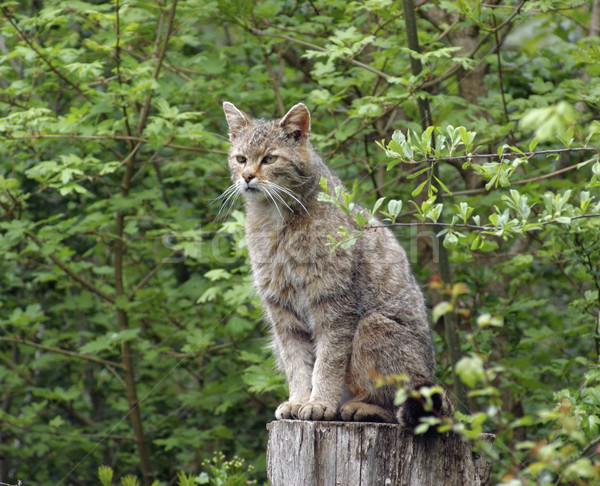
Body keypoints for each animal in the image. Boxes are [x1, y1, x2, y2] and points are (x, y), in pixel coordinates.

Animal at [219, 102, 446, 426]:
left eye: (269, 158)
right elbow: (297, 364)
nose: (247, 176)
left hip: (374, 326)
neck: (276, 220)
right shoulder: (282, 313)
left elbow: (327, 361)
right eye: (241, 159)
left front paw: (320, 402)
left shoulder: (334, 305)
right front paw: (299, 400)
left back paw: (361, 407)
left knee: (397, 405)